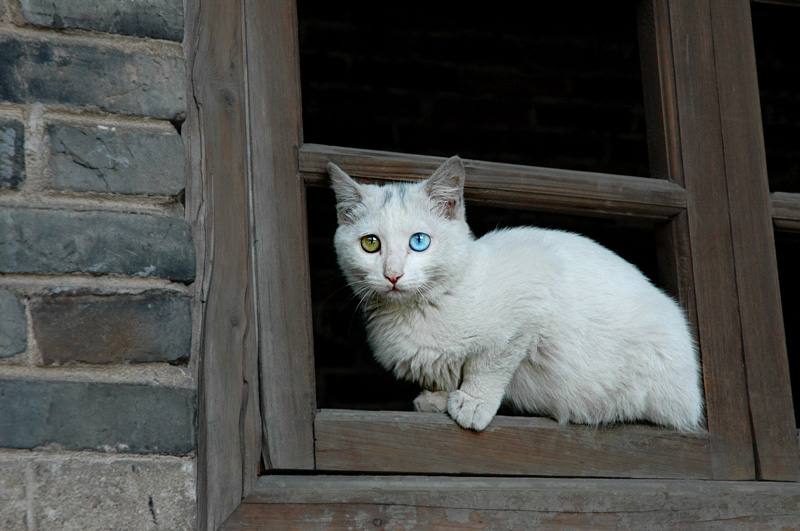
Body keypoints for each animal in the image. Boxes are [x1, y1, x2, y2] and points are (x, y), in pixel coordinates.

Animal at [328, 157, 704, 432]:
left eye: (419, 242)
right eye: (370, 243)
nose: (392, 274)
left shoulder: (531, 296)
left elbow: (490, 363)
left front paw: (473, 403)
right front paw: (438, 399)